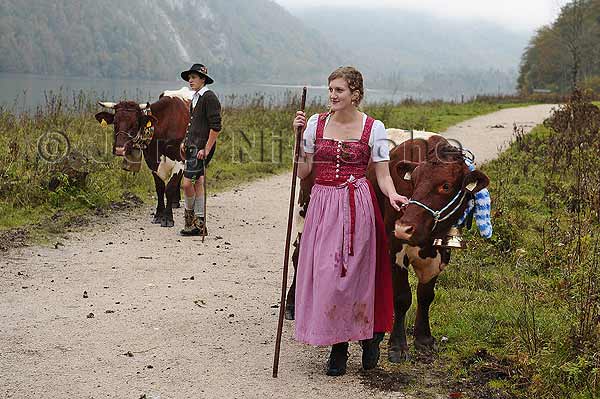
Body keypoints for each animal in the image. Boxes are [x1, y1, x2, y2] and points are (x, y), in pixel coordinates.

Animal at [95, 87, 191, 227]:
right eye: (115, 122)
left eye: (135, 124)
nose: (119, 149)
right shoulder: (152, 161)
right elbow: (160, 188)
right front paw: (158, 215)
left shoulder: (180, 161)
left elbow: (170, 187)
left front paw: (168, 218)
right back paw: (175, 202)